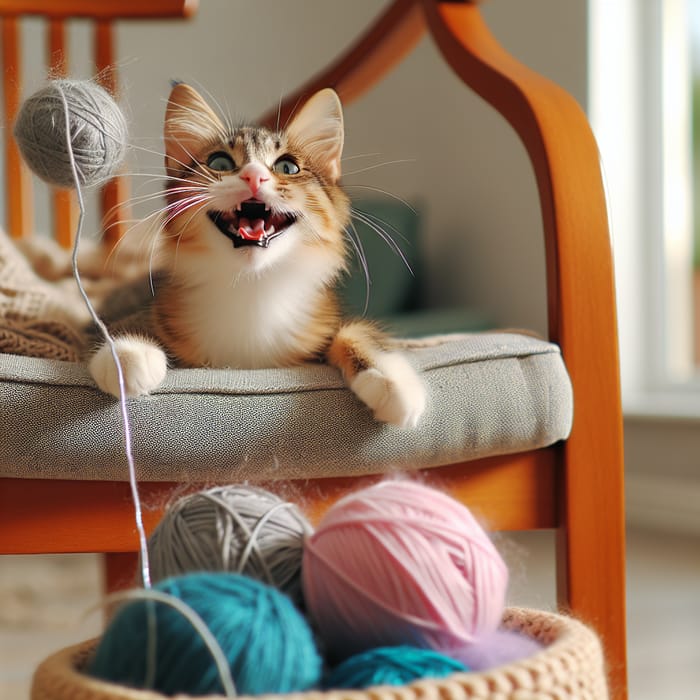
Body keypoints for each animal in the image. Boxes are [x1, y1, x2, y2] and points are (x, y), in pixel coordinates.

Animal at [89, 85, 426, 430]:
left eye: (287, 167)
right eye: (220, 162)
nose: (253, 176)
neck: (252, 287)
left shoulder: (329, 318)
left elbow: (358, 332)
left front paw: (392, 380)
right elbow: (125, 322)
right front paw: (129, 353)